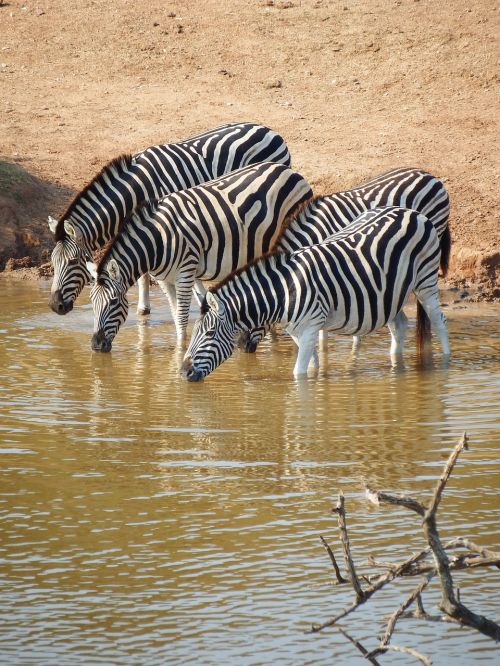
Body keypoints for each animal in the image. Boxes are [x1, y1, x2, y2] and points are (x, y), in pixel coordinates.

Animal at [47, 121, 292, 316]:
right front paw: (145, 308)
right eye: (53, 261)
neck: (134, 192)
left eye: (72, 262)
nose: (54, 306)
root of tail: (268, 130)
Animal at [86, 160, 312, 352]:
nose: (96, 345)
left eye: (113, 302)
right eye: (92, 302)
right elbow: (176, 315)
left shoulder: (185, 272)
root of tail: (290, 171)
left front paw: (180, 352)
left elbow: (182, 317)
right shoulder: (165, 280)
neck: (157, 241)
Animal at [180, 205, 450, 378]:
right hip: (391, 294)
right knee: (399, 325)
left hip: (425, 280)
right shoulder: (298, 333)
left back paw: (445, 363)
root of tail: (412, 212)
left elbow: (299, 374)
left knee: (438, 321)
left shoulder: (310, 328)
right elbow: (311, 367)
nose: (183, 373)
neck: (283, 292)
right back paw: (396, 364)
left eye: (210, 333)